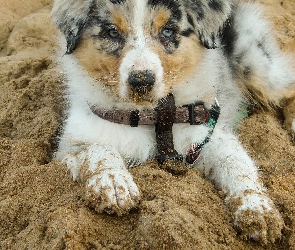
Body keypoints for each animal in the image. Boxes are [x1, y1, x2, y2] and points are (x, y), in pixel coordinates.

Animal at [51, 0, 295, 243]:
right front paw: (113, 182)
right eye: (112, 32)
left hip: (257, 64)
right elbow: (97, 149)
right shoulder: (71, 142)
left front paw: (258, 210)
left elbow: (235, 162)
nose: (141, 81)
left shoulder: (207, 134)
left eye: (167, 31)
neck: (152, 116)